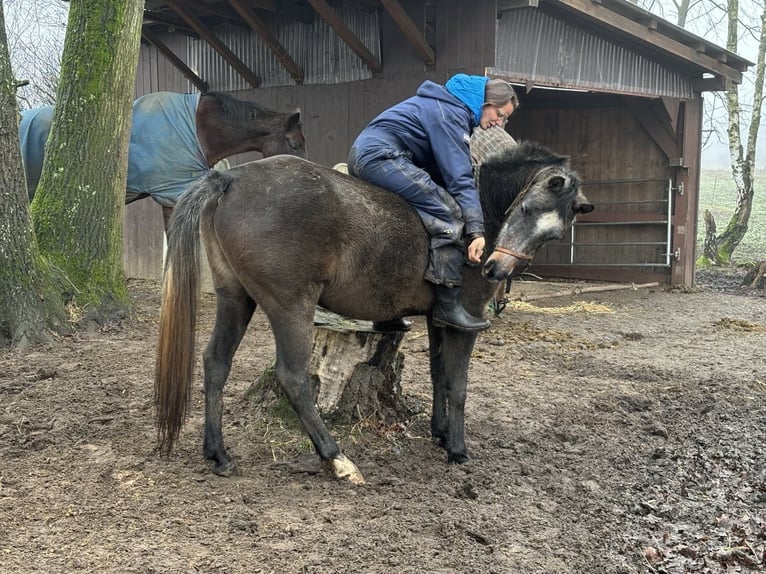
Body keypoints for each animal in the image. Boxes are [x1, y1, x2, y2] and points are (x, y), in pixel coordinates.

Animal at [154, 141, 592, 486]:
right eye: (527, 208)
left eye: (554, 233)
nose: (495, 270)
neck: (480, 214)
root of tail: (231, 178)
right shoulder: (466, 321)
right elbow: (459, 384)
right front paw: (457, 448)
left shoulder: (440, 318)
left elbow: (439, 376)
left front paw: (439, 432)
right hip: (291, 305)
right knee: (293, 378)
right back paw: (336, 458)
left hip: (236, 298)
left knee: (216, 362)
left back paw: (218, 453)